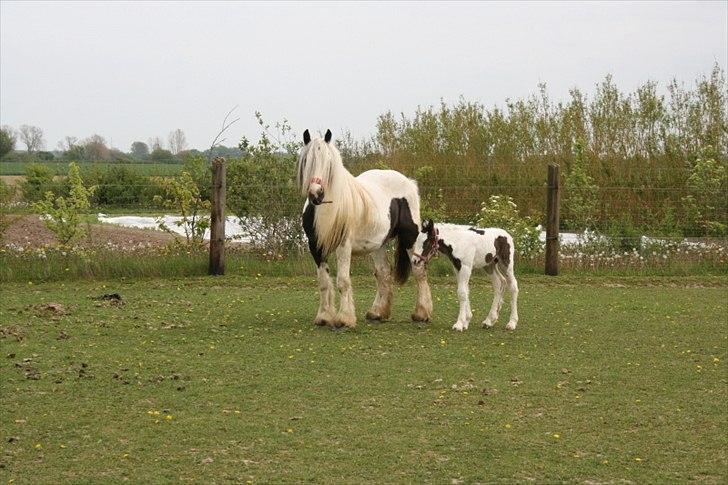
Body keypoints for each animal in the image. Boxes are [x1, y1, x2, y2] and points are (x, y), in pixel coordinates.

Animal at [296, 129, 432, 328]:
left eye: (329, 163)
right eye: (306, 160)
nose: (316, 193)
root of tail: (409, 182)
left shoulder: (343, 246)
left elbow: (343, 281)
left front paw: (344, 319)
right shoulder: (316, 247)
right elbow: (323, 282)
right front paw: (324, 316)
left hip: (410, 237)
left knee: (419, 272)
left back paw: (422, 313)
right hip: (378, 244)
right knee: (383, 273)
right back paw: (377, 312)